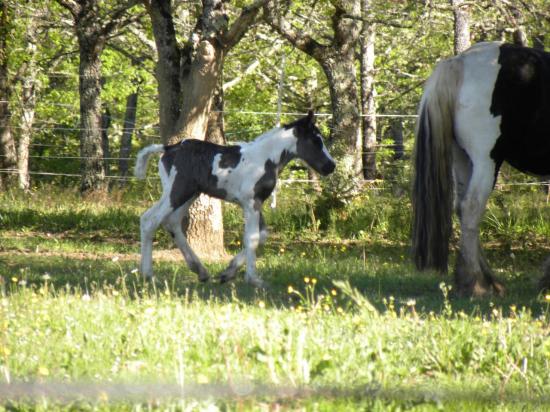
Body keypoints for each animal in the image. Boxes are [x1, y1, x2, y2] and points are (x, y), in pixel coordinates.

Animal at [134, 112, 336, 286]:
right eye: (316, 140)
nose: (331, 166)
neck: (265, 158)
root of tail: (169, 148)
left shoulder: (256, 203)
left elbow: (262, 235)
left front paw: (228, 272)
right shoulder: (250, 203)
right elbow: (253, 237)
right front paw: (253, 279)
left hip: (188, 194)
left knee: (170, 221)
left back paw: (200, 271)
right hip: (178, 191)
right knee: (150, 220)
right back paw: (148, 274)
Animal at [416, 41, 548, 296]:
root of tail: (460, 61)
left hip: (462, 159)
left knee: (461, 207)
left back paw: (486, 281)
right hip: (486, 161)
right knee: (471, 206)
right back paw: (475, 284)